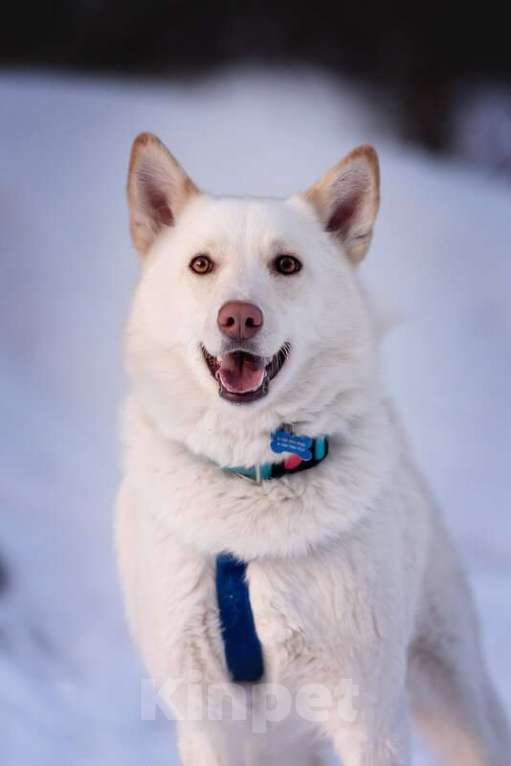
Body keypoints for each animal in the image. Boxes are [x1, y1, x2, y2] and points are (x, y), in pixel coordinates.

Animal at [117, 135, 511, 764]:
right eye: (201, 264)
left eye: (286, 265)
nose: (239, 317)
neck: (251, 475)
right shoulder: (206, 719)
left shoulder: (368, 715)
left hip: (451, 687)